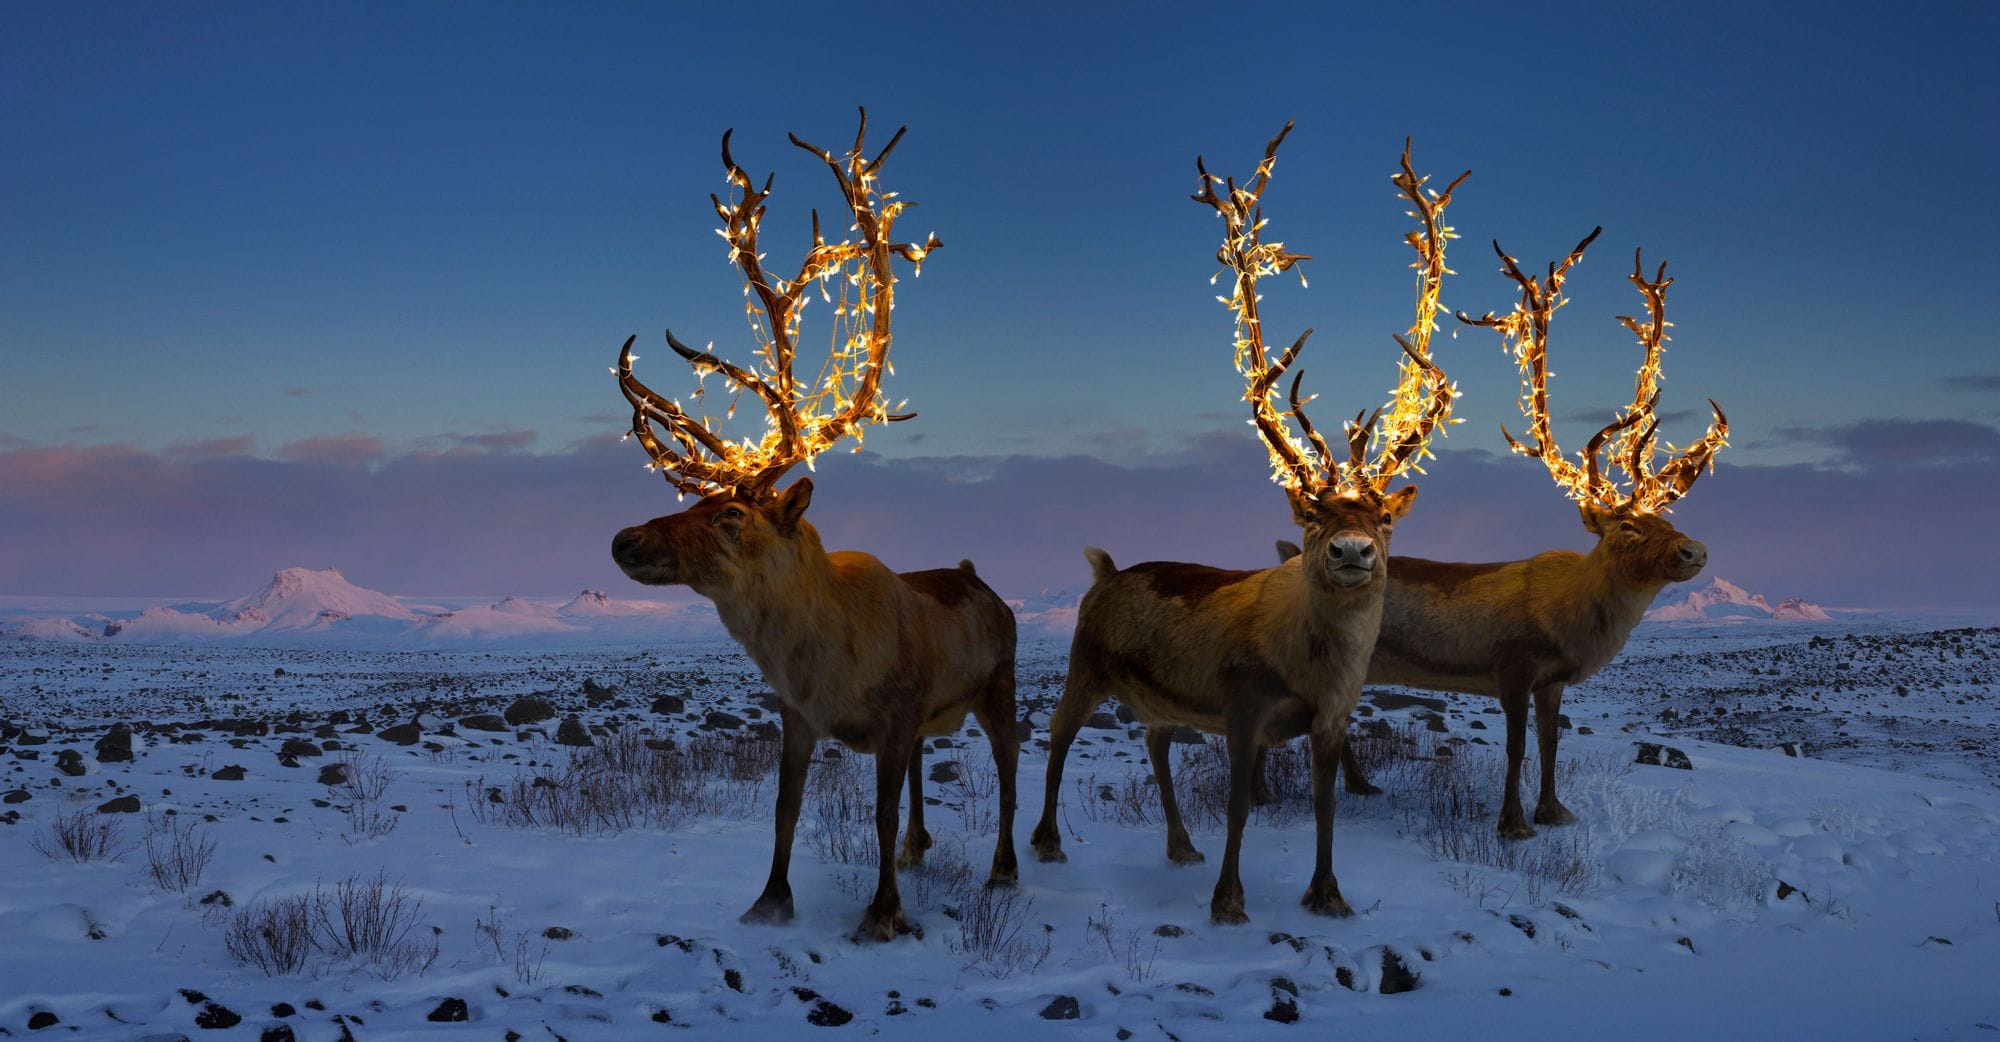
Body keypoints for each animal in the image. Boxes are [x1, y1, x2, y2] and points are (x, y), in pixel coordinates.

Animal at [607, 110, 1018, 942]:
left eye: (732, 513)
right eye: (690, 504)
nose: (623, 539)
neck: (817, 658)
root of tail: (979, 580)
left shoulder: (894, 717)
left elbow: (878, 816)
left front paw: (882, 914)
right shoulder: (798, 718)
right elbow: (784, 810)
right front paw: (768, 903)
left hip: (1000, 686)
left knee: (1011, 770)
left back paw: (1005, 870)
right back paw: (926, 850)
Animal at [1027, 126, 1459, 925]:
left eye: (1385, 516)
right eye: (1313, 515)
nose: (1352, 551)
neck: (1308, 665)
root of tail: (1105, 571)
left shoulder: (1331, 719)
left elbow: (1325, 804)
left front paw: (1328, 894)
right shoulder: (1240, 707)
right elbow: (1235, 806)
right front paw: (1229, 900)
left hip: (1160, 697)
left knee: (1155, 744)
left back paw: (1178, 845)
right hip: (1084, 662)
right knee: (1056, 734)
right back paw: (1045, 842)